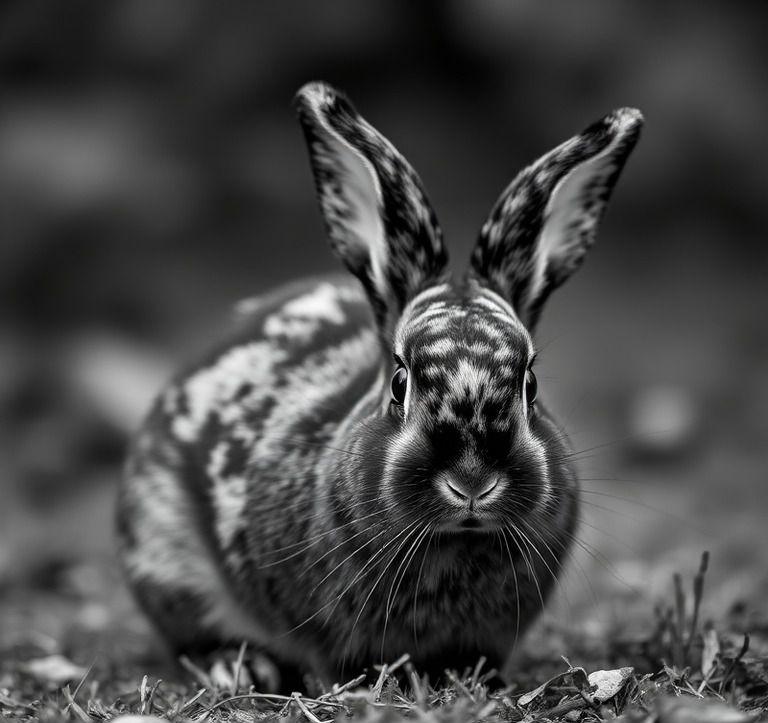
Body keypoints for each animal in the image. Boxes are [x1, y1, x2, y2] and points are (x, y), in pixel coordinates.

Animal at [114, 82, 640, 688]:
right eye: (398, 383)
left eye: (530, 385)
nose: (471, 485)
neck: (455, 542)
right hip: (164, 552)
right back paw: (232, 668)